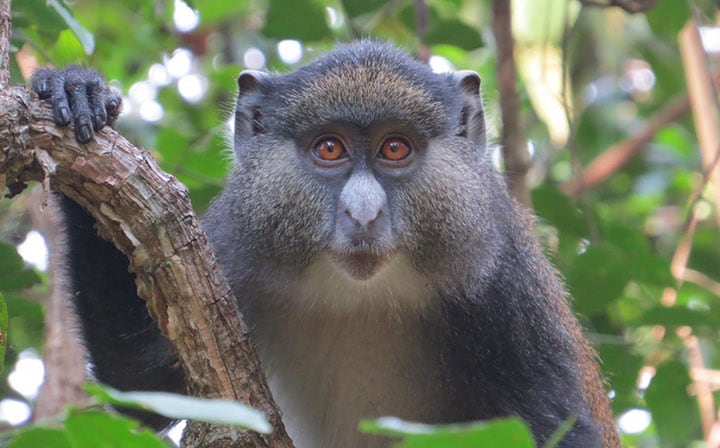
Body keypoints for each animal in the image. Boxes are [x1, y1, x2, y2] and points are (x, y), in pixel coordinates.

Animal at [31, 41, 619, 447]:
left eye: (395, 148)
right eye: (329, 148)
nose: (363, 212)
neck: (361, 295)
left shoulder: (502, 277)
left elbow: (559, 428)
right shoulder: (233, 253)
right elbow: (141, 379)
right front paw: (77, 92)